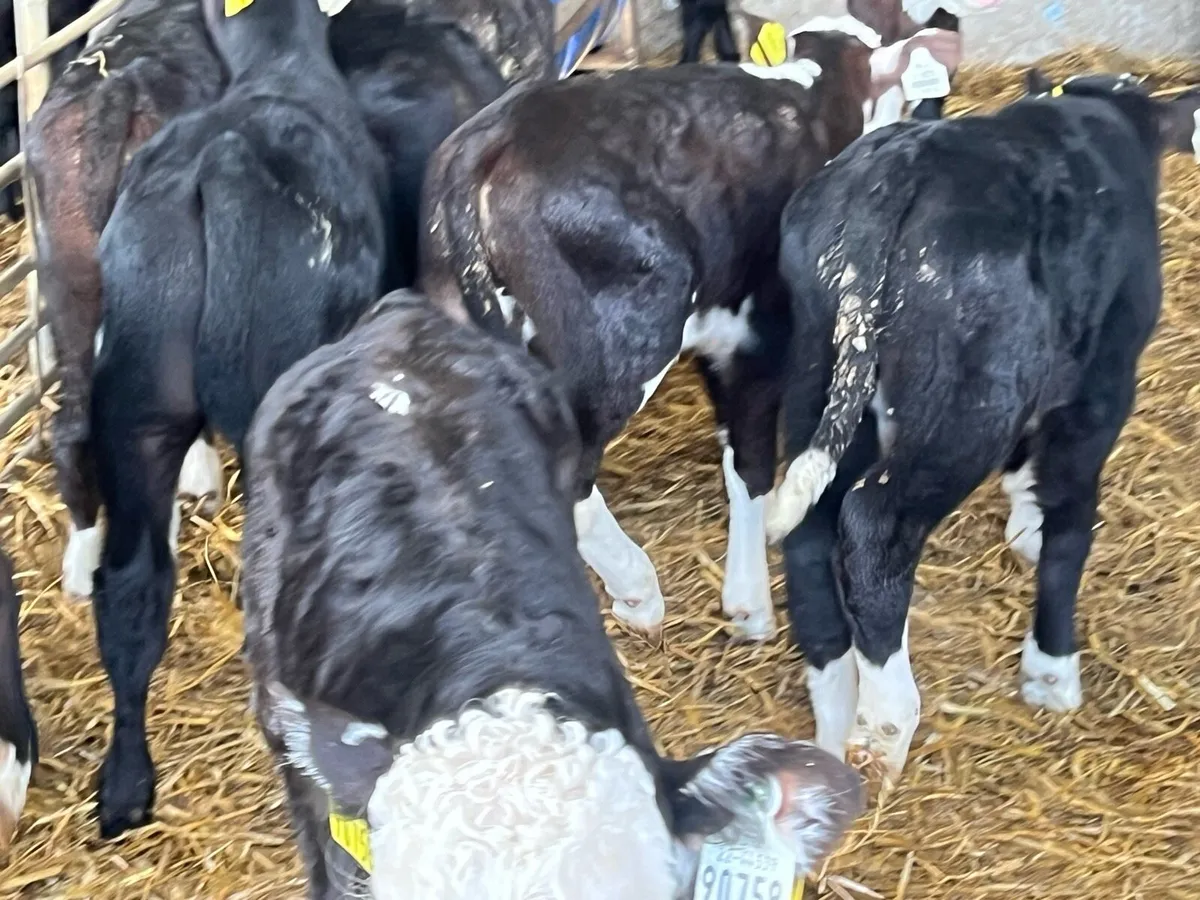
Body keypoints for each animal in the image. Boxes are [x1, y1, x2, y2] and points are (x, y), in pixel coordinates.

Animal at [420, 24, 954, 644]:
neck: (818, 95)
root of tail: (489, 145)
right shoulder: (760, 335)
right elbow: (750, 465)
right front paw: (750, 604)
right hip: (625, 343)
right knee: (569, 473)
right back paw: (637, 591)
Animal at [765, 72, 1200, 781]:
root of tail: (897, 170)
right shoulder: (1102, 384)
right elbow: (1072, 516)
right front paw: (1052, 670)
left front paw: (1024, 519)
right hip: (968, 404)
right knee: (874, 526)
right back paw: (887, 721)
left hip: (815, 373)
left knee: (808, 530)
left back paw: (834, 707)